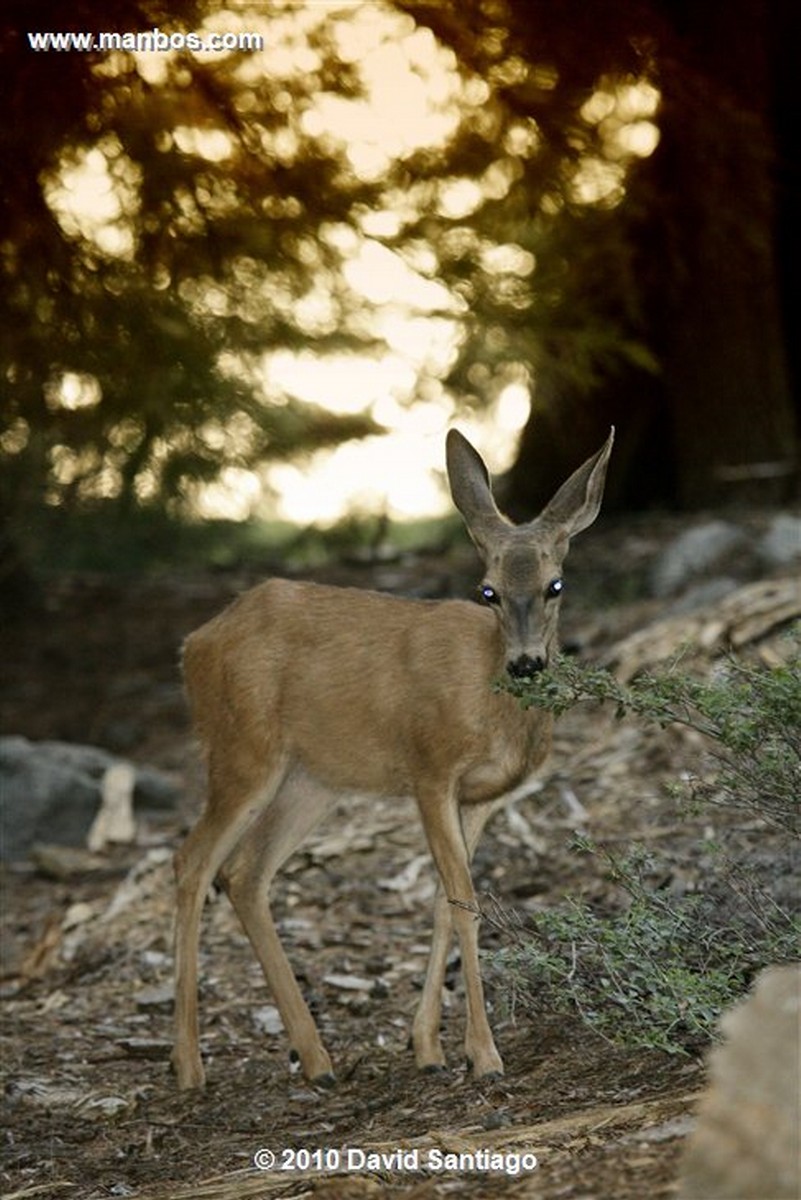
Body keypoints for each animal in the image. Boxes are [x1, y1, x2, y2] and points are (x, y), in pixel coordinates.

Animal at [173, 427, 613, 1094]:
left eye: (555, 585)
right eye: (488, 591)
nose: (526, 663)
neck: (492, 705)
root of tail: (192, 645)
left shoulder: (481, 798)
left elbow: (445, 902)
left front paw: (428, 1046)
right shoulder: (430, 768)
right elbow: (464, 902)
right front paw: (483, 1054)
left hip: (311, 780)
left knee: (244, 873)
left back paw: (317, 1058)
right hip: (242, 749)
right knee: (192, 864)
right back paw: (189, 1063)